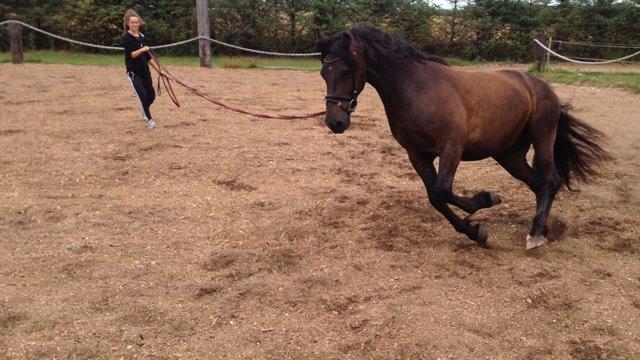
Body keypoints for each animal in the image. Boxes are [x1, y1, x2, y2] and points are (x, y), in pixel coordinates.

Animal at [316, 26, 608, 249]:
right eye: (323, 73)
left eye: (345, 69)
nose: (335, 122)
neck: (416, 89)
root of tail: (540, 86)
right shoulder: (417, 155)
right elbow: (435, 197)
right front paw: (476, 232)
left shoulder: (451, 148)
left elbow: (443, 190)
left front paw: (486, 200)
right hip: (509, 154)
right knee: (537, 184)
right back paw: (543, 228)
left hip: (543, 137)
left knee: (549, 181)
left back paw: (535, 234)